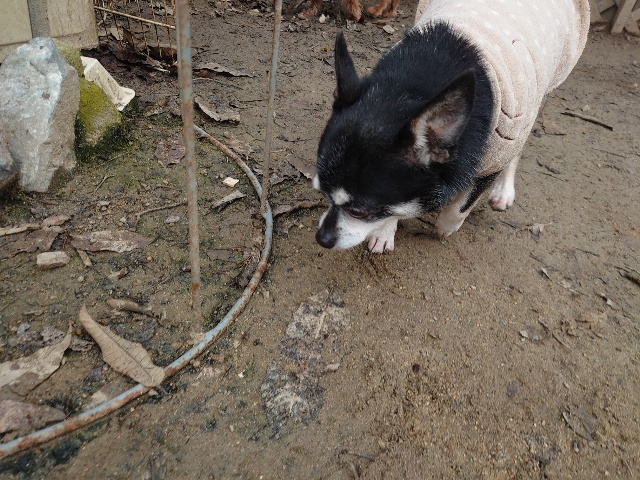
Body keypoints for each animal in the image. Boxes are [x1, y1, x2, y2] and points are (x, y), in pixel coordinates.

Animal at [313, 0, 590, 253]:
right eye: (321, 192)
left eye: (359, 211)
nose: (321, 238)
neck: (411, 88)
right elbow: (401, 206)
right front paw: (384, 231)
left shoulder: (491, 163)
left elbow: (460, 206)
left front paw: (446, 226)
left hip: (537, 98)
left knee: (519, 147)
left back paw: (504, 191)